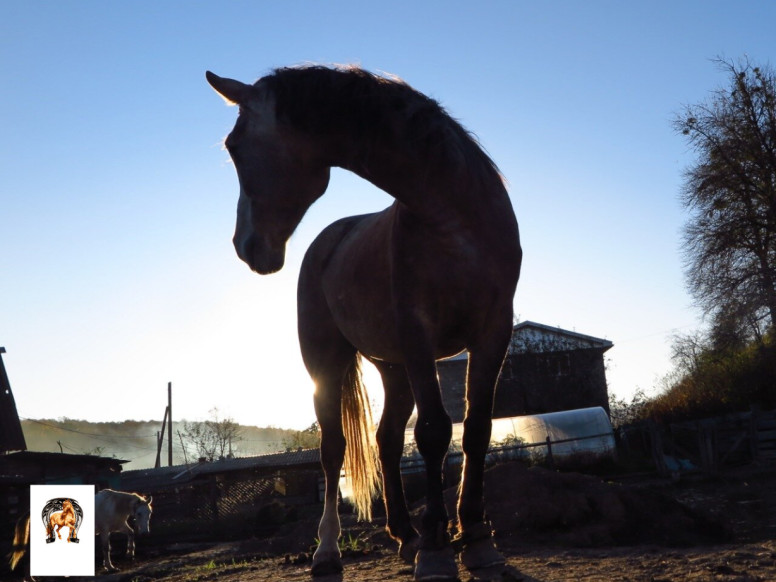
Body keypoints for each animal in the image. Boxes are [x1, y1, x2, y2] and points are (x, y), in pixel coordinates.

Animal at [206, 66, 520, 580]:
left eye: (234, 145)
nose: (245, 246)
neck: (454, 217)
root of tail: (330, 237)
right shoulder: (418, 336)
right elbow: (434, 432)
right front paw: (438, 549)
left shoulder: (493, 332)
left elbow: (476, 428)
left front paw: (476, 539)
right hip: (328, 361)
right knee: (333, 450)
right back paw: (329, 550)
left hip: (393, 369)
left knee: (387, 440)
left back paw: (406, 536)